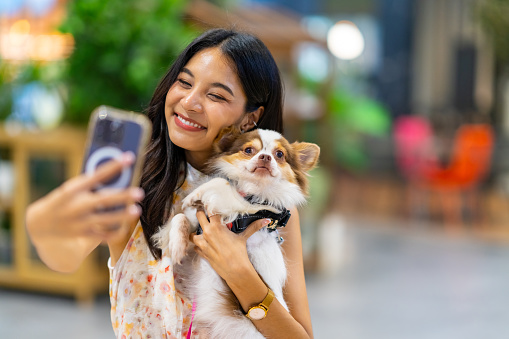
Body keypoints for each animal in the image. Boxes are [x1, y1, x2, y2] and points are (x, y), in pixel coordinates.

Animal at [154, 127, 318, 339]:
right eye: (248, 150)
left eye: (279, 154)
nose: (265, 157)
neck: (250, 192)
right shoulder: (200, 236)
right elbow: (180, 218)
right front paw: (176, 244)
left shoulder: (252, 209)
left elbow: (221, 184)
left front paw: (196, 194)